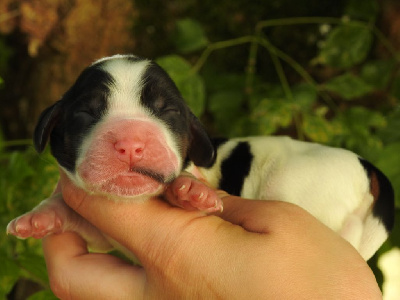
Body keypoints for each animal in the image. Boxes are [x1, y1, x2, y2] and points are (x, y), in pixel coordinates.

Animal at [6, 55, 394, 262]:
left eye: (168, 112)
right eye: (86, 113)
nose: (131, 143)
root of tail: (369, 167)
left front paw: (190, 190)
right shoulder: (102, 233)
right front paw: (40, 216)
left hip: (304, 191)